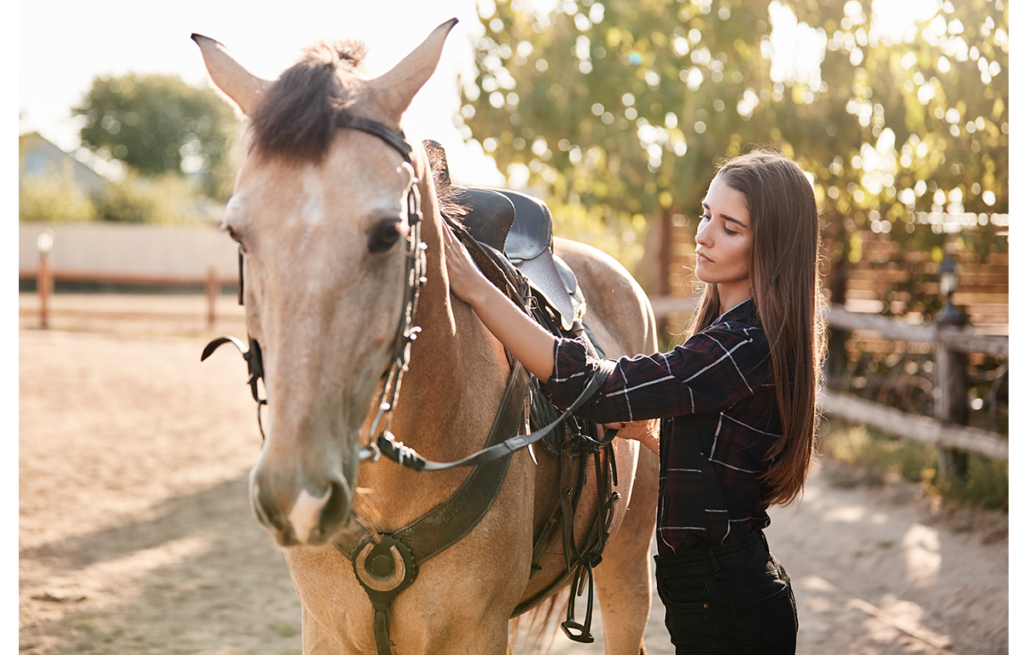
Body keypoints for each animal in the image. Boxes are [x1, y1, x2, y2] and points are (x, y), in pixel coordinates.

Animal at [194, 19, 660, 654]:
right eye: (237, 232)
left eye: (387, 234)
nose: (297, 495)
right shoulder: (325, 629)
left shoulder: (476, 633)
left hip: (627, 568)